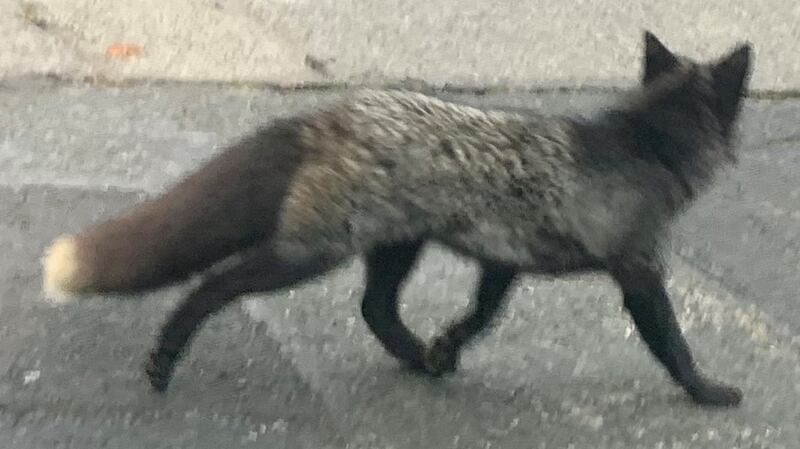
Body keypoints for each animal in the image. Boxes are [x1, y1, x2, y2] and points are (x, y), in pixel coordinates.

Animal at [41, 31, 752, 407]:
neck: (647, 146)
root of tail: (327, 115)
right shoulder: (638, 269)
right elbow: (671, 344)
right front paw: (707, 391)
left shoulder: (503, 259)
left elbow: (479, 317)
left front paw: (445, 348)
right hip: (310, 254)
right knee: (212, 286)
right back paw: (164, 360)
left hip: (394, 245)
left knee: (376, 310)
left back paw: (418, 359)